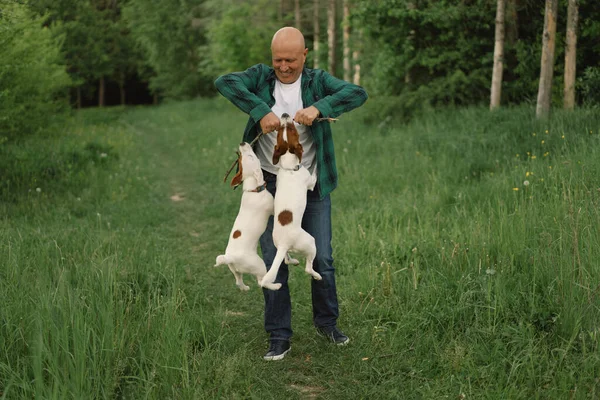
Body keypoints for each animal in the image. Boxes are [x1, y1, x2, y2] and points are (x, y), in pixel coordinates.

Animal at [258, 114, 324, 290]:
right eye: (293, 130)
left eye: (281, 130)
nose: (285, 115)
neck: (289, 168)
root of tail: (283, 244)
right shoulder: (310, 182)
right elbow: (314, 172)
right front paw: (316, 161)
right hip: (310, 242)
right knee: (308, 268)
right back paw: (317, 275)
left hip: (278, 245)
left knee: (286, 259)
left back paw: (293, 260)